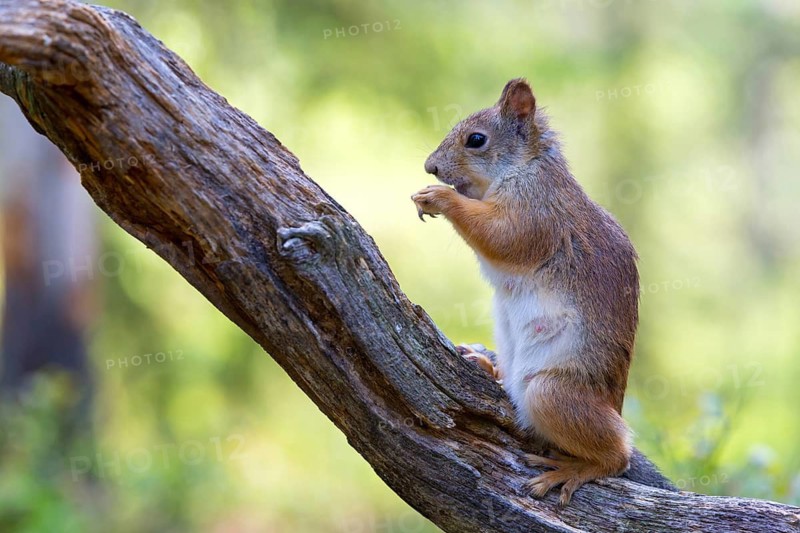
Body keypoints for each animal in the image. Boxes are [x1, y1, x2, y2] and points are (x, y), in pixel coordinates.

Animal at [411, 78, 639, 506]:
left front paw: (438, 197)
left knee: (618, 457)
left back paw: (571, 470)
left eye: (476, 140)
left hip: (552, 393)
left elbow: (503, 237)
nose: (430, 166)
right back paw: (490, 368)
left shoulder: (537, 212)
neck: (527, 166)